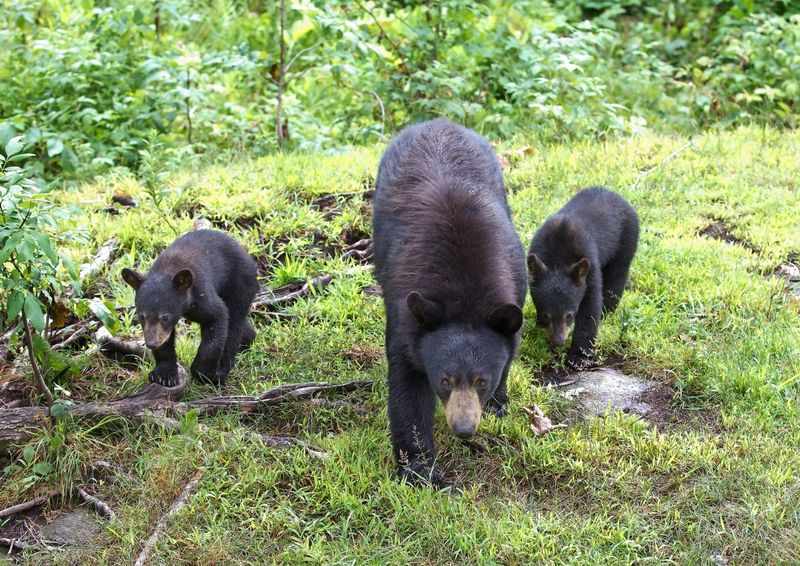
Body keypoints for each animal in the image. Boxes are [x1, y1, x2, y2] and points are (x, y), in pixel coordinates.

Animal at [121, 229, 258, 386]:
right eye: (141, 316)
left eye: (165, 317)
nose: (151, 343)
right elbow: (166, 342)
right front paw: (164, 375)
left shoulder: (202, 294)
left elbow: (218, 317)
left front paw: (204, 373)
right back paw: (248, 341)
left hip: (240, 284)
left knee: (234, 324)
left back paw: (223, 369)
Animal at [373, 118, 527, 486]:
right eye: (445, 380)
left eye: (482, 380)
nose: (464, 428)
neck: (464, 295)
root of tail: (438, 122)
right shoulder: (406, 313)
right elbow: (407, 387)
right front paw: (419, 470)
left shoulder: (516, 278)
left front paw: (498, 404)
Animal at [527, 186, 639, 368]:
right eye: (546, 315)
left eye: (569, 315)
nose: (559, 341)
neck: (558, 254)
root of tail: (615, 194)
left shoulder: (589, 262)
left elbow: (590, 307)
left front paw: (579, 357)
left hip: (627, 238)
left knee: (617, 275)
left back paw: (607, 310)